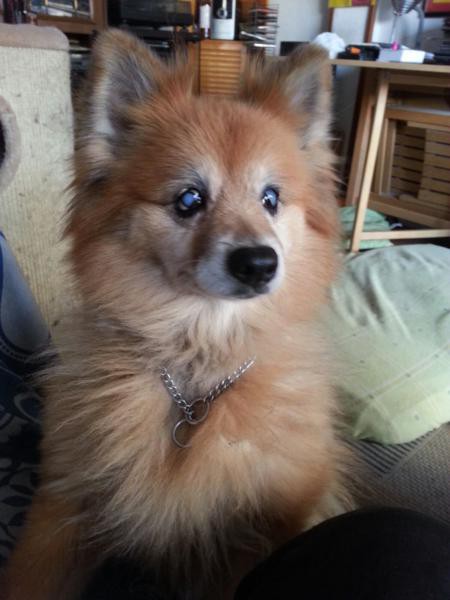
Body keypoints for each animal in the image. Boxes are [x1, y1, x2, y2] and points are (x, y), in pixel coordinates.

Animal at [3, 30, 352, 599]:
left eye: (271, 199)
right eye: (189, 199)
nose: (259, 262)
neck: (197, 373)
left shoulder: (265, 527)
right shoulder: (61, 506)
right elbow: (28, 578)